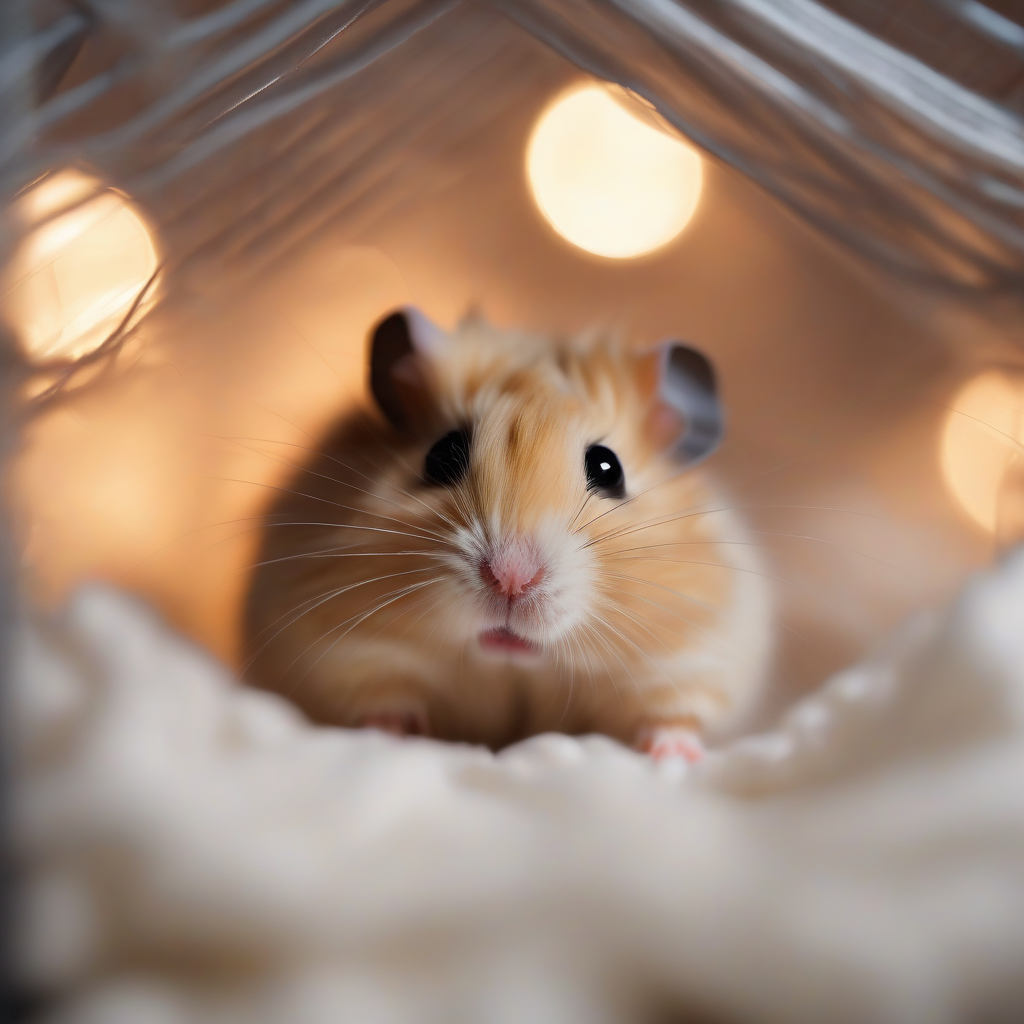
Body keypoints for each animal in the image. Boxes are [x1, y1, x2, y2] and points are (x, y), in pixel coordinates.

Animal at [243, 310, 772, 760]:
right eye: (441, 455)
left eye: (609, 468)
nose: (511, 578)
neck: (513, 667)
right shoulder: (337, 649)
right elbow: (382, 696)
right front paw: (394, 734)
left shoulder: (698, 656)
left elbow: (672, 715)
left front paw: (671, 756)